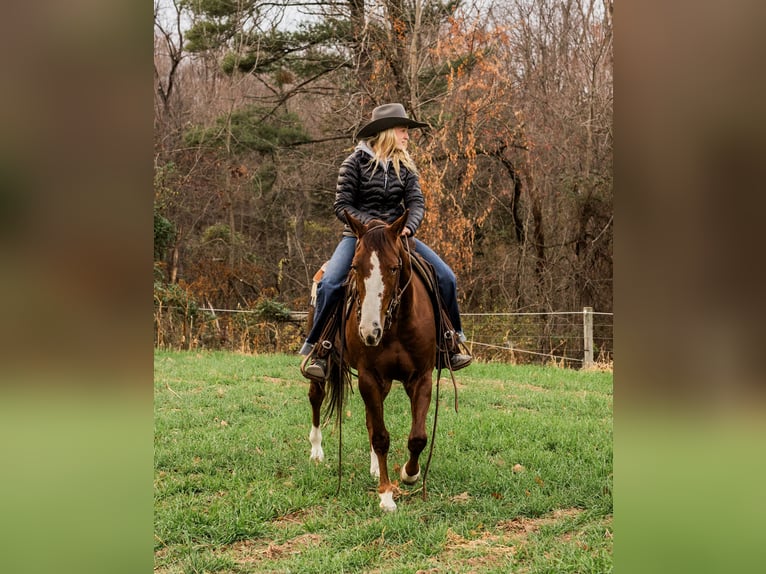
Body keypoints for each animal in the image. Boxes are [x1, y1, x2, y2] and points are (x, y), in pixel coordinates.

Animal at [308, 210, 438, 512]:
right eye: (355, 267)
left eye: (394, 268)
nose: (369, 330)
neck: (396, 324)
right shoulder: (368, 376)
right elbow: (381, 437)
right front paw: (386, 495)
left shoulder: (421, 377)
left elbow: (417, 436)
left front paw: (409, 474)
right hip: (325, 368)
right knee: (316, 398)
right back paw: (316, 451)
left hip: (385, 382)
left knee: (370, 418)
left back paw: (376, 468)